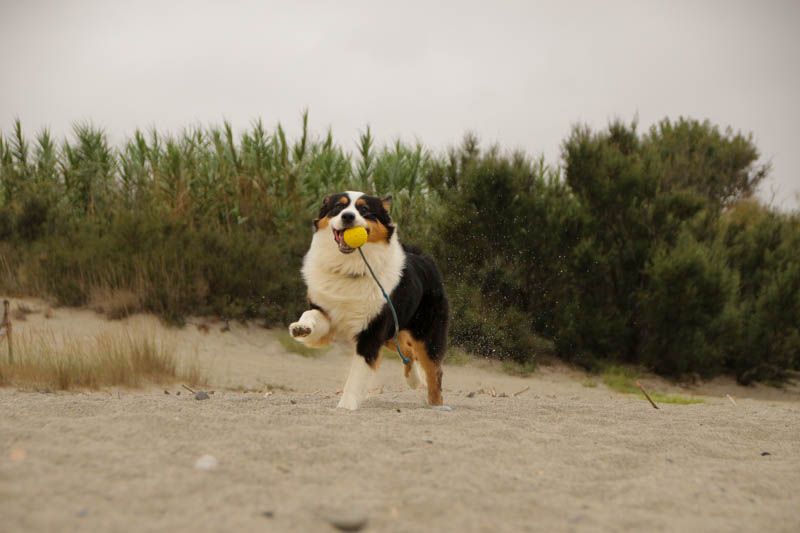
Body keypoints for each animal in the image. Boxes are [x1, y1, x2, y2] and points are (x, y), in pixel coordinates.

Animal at [290, 189, 450, 410]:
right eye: (338, 207)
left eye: (364, 209)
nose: (348, 216)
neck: (350, 270)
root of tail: (425, 258)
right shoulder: (328, 315)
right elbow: (311, 314)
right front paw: (301, 328)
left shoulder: (371, 333)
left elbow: (356, 377)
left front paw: (345, 407)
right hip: (393, 333)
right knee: (408, 351)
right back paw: (413, 380)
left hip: (426, 336)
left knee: (434, 373)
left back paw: (436, 404)